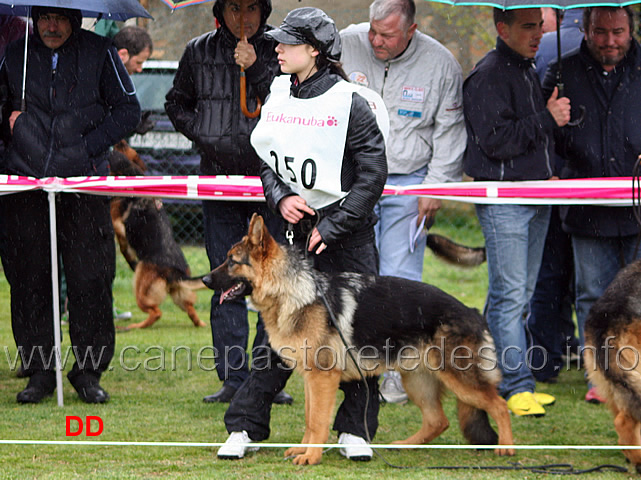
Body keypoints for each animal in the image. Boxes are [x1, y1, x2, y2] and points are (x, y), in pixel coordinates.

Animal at [108, 150, 205, 330]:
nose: (112, 149)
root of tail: (176, 272)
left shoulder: (117, 222)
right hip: (179, 294)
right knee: (190, 308)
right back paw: (200, 323)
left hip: (141, 288)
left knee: (156, 312)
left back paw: (135, 326)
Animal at [202, 214, 512, 464]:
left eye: (232, 262)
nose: (204, 280)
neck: (292, 291)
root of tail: (471, 310)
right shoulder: (312, 380)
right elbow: (309, 419)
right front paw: (303, 450)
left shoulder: (322, 378)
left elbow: (318, 421)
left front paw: (311, 457)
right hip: (417, 379)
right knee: (439, 421)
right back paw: (404, 446)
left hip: (459, 380)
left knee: (499, 405)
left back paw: (507, 449)